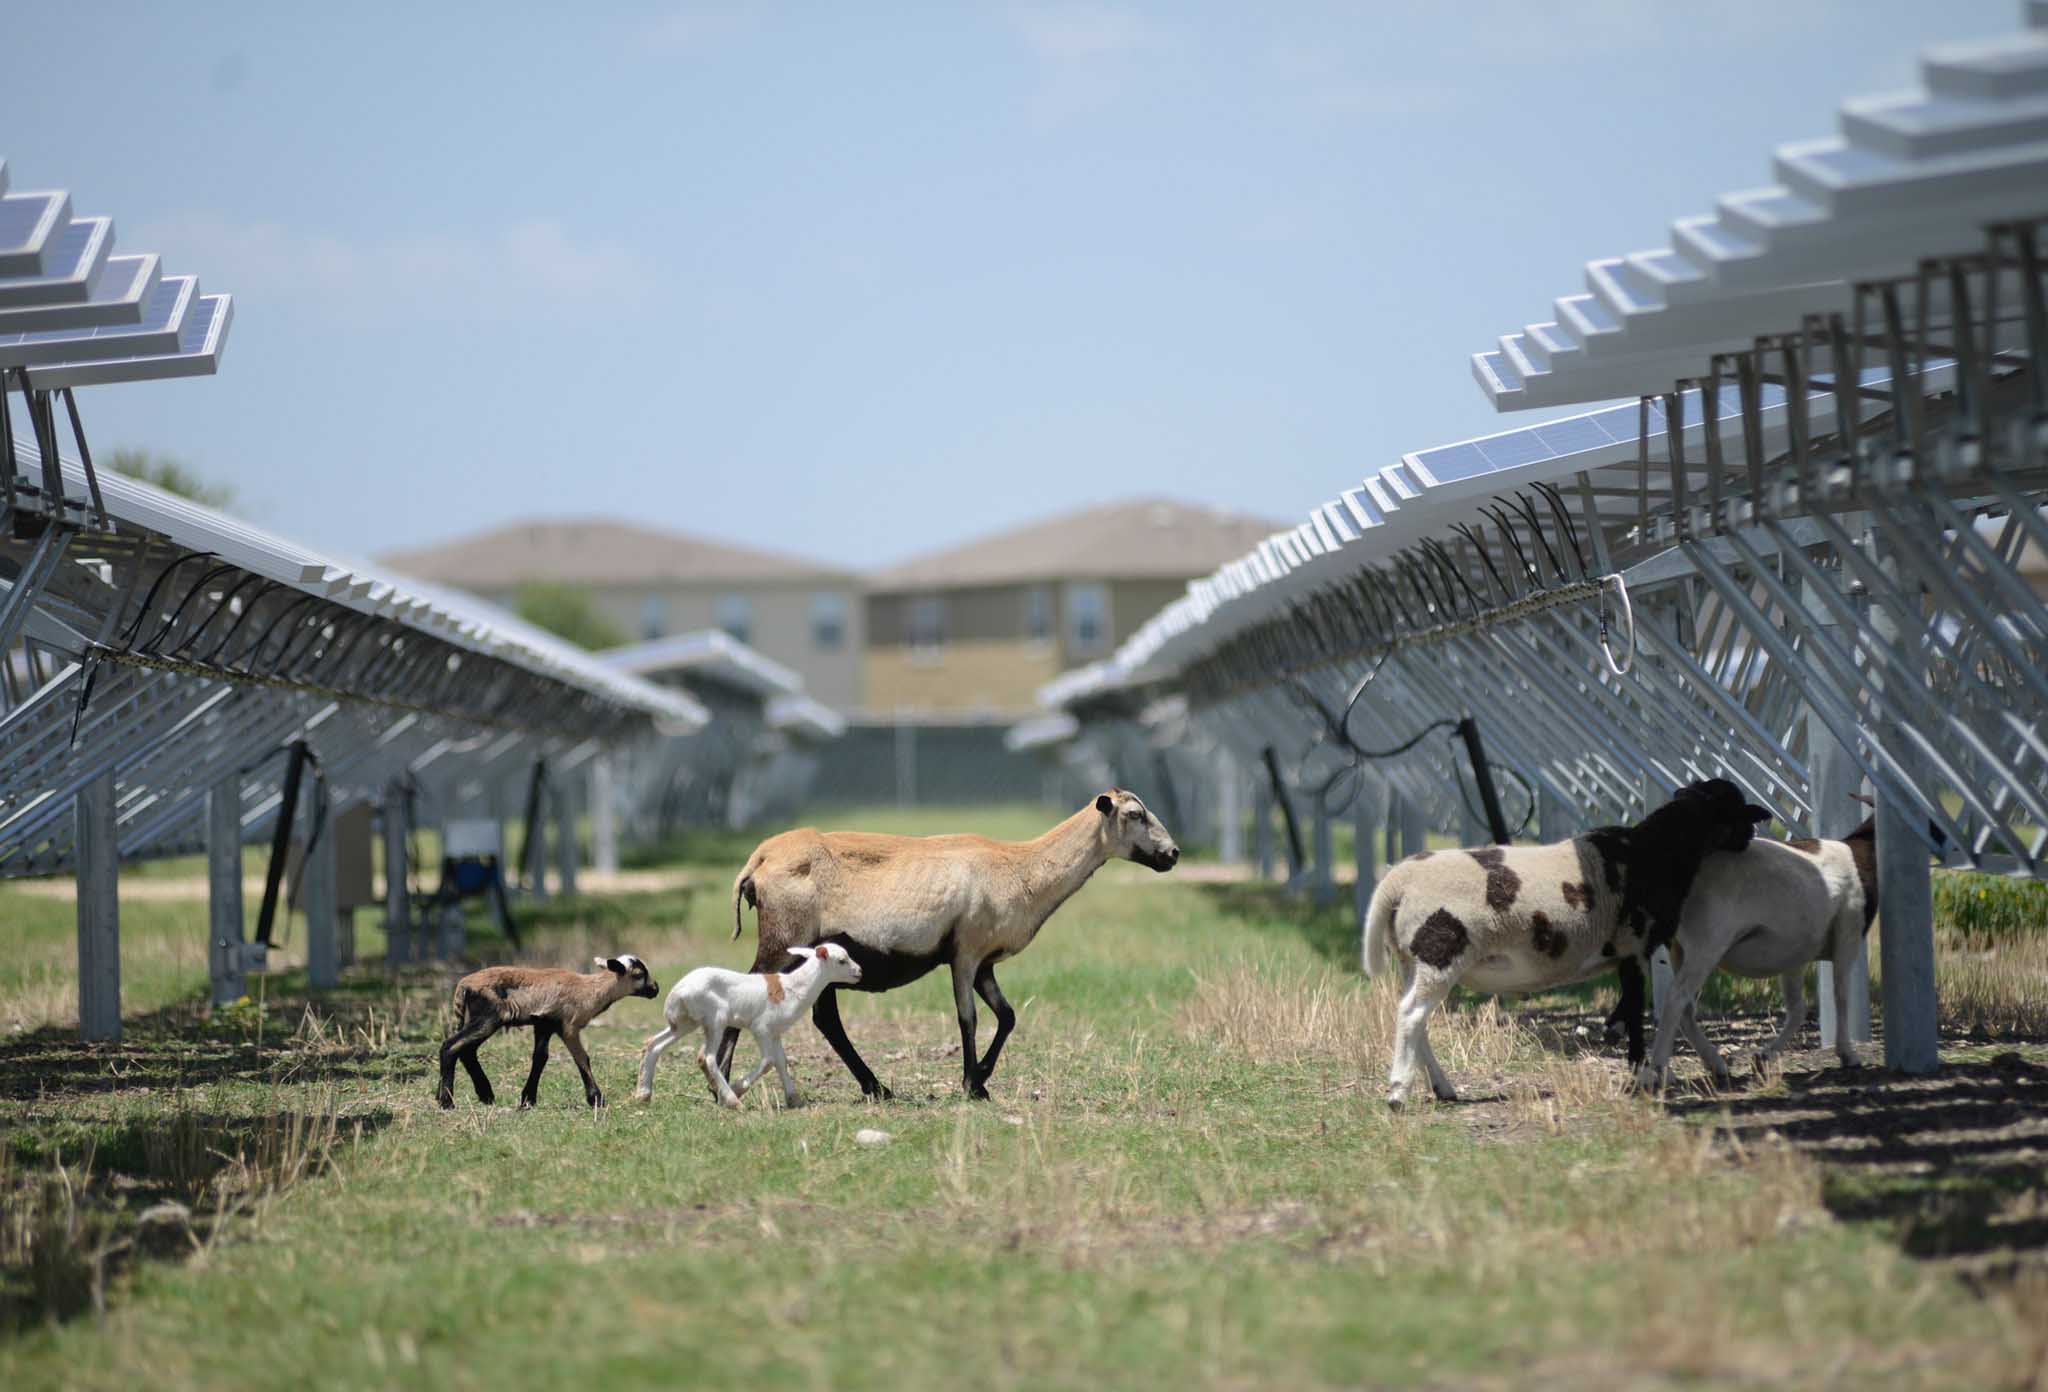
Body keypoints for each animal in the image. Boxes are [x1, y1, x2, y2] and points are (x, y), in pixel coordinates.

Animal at [638, 933, 864, 1105]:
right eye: (842, 960)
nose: (859, 972)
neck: (793, 987)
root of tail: (677, 993)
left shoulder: (775, 1033)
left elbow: (781, 1062)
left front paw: (794, 1099)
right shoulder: (760, 1028)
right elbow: (768, 1062)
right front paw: (738, 1088)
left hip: (685, 1023)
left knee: (654, 1044)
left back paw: (643, 1094)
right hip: (715, 1020)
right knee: (707, 1057)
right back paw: (732, 1100)